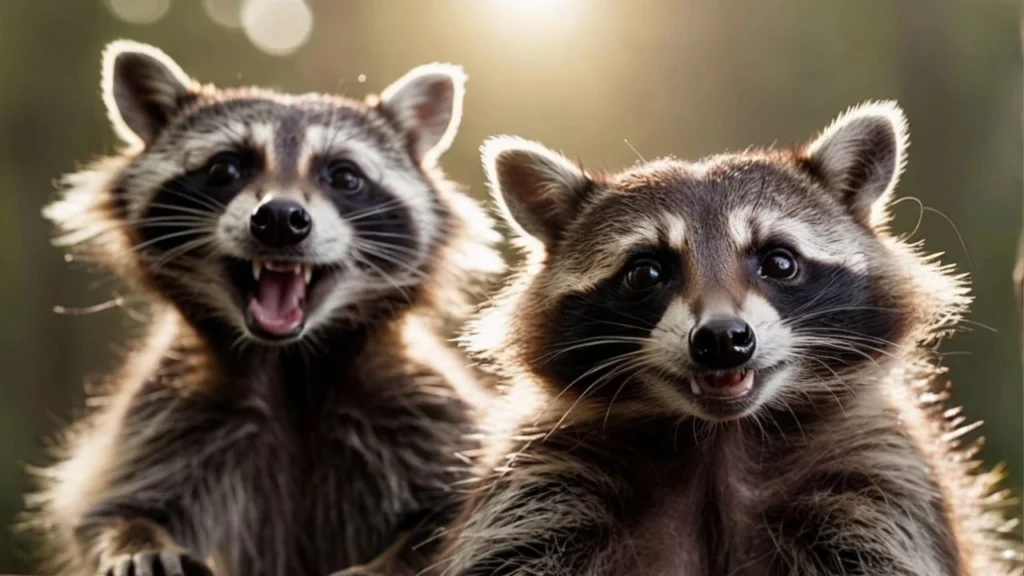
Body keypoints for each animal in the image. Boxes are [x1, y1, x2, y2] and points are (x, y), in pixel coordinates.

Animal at [26, 40, 503, 576]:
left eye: (344, 176)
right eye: (224, 168)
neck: (289, 364)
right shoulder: (170, 412)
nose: (279, 218)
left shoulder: (424, 411)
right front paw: (134, 538)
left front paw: (389, 560)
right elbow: (109, 507)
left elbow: (461, 516)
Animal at [433, 103, 1023, 575]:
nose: (722, 339)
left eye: (779, 261)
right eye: (646, 271)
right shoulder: (542, 487)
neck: (717, 442)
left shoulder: (879, 485)